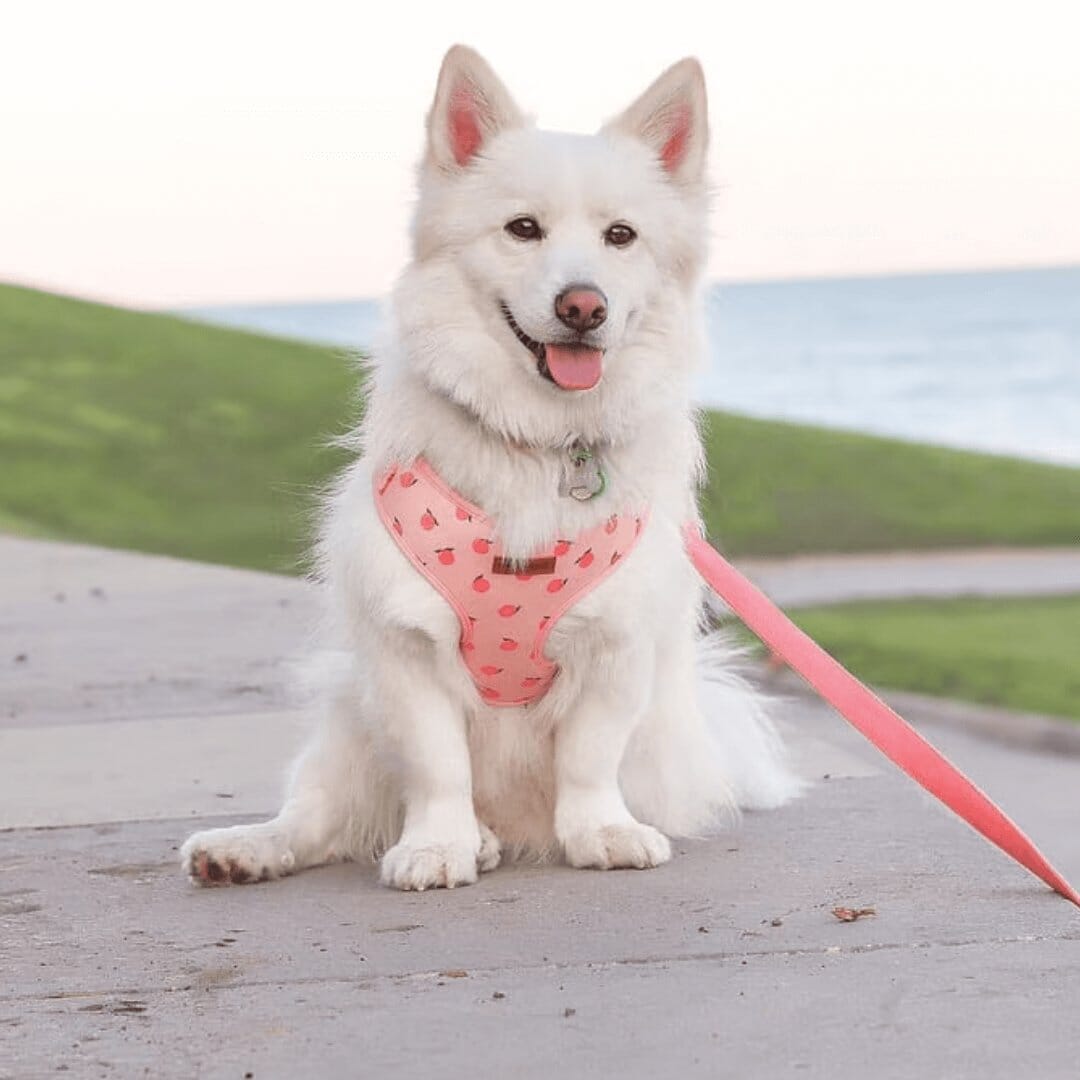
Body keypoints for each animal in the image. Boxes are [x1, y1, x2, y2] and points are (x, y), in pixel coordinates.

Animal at [181, 45, 801, 892]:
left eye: (621, 236)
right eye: (523, 229)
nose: (584, 306)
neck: (542, 444)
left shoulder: (616, 649)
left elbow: (589, 758)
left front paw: (599, 830)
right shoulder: (407, 648)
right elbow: (438, 765)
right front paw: (438, 845)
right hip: (348, 714)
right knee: (317, 817)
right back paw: (254, 848)